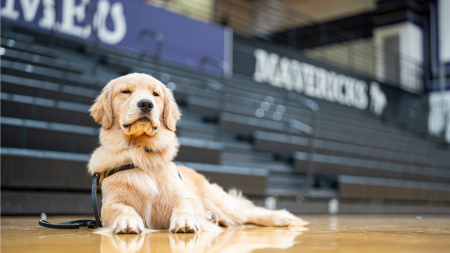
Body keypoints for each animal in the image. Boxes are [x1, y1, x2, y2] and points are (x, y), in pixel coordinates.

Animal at [86, 72, 308, 233]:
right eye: (125, 91)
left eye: (156, 94)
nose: (146, 104)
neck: (142, 152)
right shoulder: (111, 204)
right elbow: (122, 208)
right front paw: (126, 221)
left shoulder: (185, 196)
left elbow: (184, 204)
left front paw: (185, 221)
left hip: (219, 202)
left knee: (249, 212)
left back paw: (282, 217)